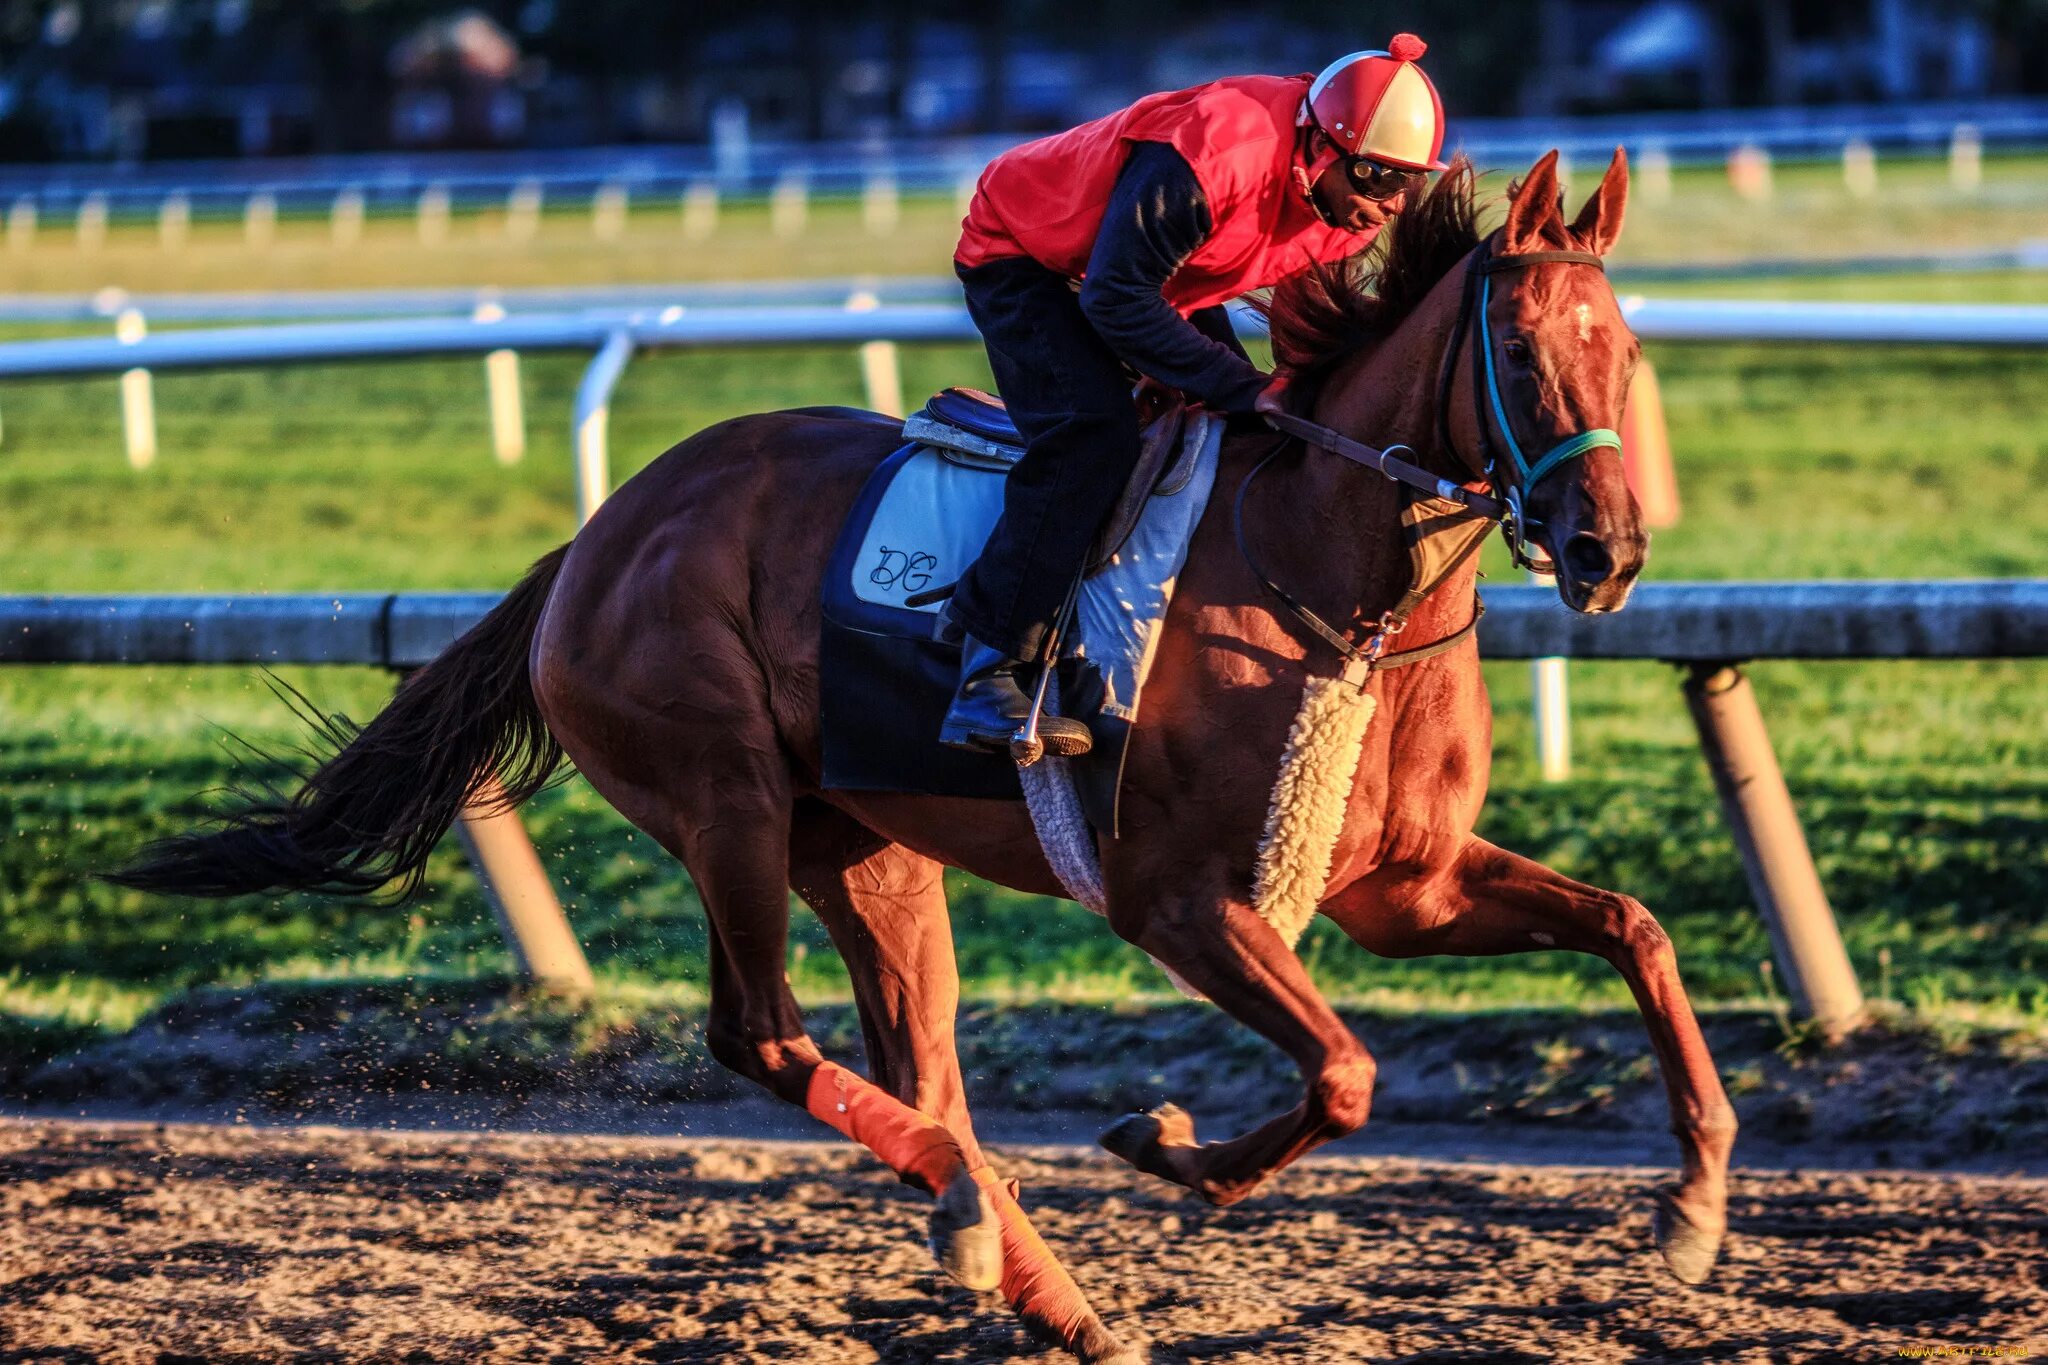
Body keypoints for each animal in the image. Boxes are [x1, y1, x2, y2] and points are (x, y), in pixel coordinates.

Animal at [119, 152, 1736, 1365]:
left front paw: (1696, 1205)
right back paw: (969, 1208)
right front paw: (1172, 1145)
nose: (1609, 551)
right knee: (765, 1038)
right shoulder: (1176, 901)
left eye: (1629, 350)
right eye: (1519, 349)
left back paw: (1048, 1290)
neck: (1328, 581)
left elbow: (1632, 928)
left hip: (867, 844)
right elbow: (1341, 1072)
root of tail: (592, 542)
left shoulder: (1401, 885)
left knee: (927, 1073)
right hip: (724, 799)